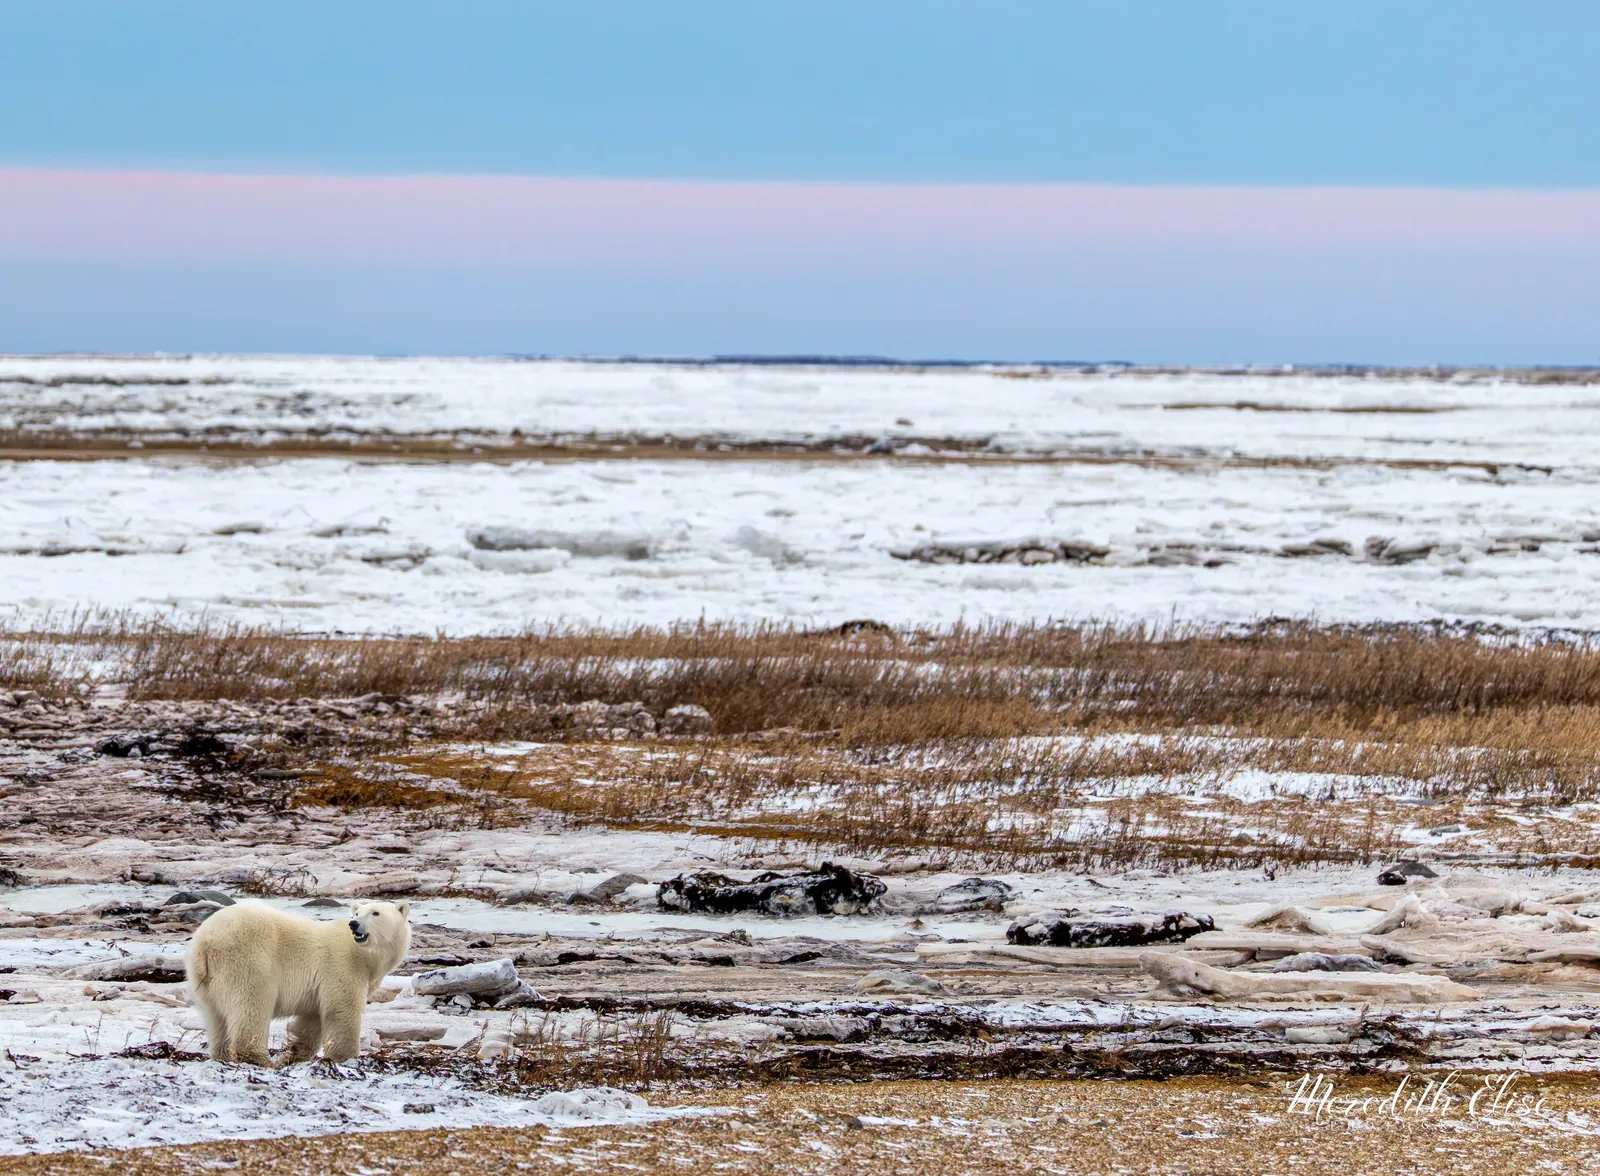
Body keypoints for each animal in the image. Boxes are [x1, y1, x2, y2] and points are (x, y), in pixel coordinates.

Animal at [186, 899, 411, 1065]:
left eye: (375, 913)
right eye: (357, 914)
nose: (354, 924)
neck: (366, 957)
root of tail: (207, 942)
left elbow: (312, 1020)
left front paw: (294, 1055)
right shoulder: (342, 964)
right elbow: (342, 1009)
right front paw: (346, 1058)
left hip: (204, 980)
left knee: (215, 1018)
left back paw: (222, 1055)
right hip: (247, 961)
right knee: (251, 1005)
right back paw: (260, 1059)